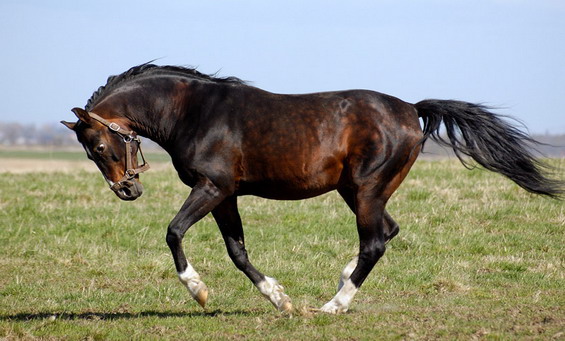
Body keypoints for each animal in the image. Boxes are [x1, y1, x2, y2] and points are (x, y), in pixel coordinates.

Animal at [60, 62, 560, 312]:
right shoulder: (226, 194)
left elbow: (174, 232)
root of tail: (411, 110)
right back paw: (337, 284)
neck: (193, 111)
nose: (127, 191)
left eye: (100, 145)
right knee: (387, 233)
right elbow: (237, 250)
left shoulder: (211, 187)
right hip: (357, 191)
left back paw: (335, 305)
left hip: (366, 190)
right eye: (89, 152)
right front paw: (279, 299)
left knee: (375, 242)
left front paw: (199, 291)